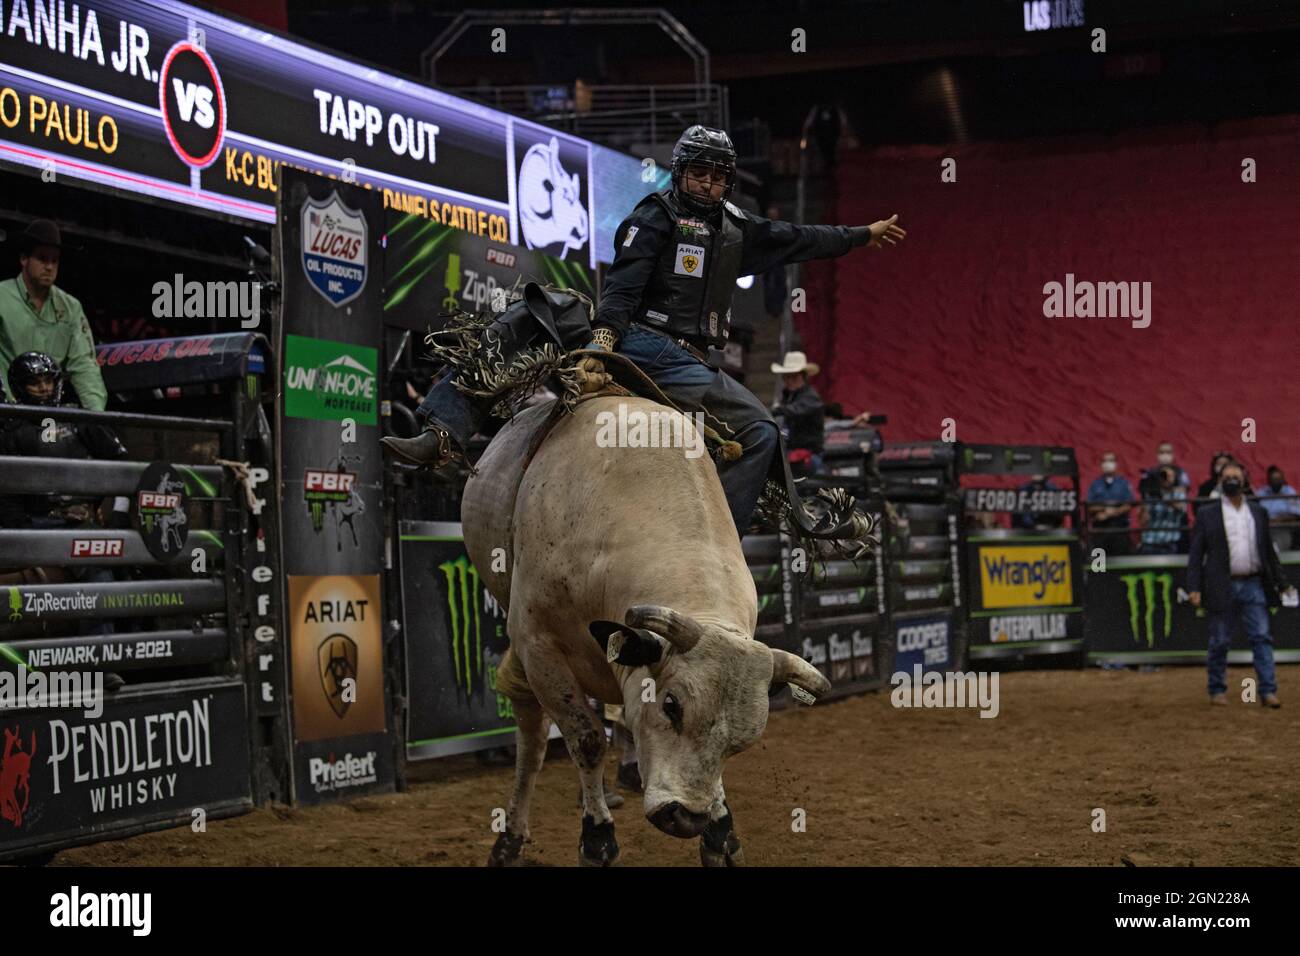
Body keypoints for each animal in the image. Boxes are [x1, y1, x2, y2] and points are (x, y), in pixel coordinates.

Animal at [467, 392, 826, 863]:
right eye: (671, 705)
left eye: (743, 741)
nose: (686, 818)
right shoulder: (537, 647)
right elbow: (586, 740)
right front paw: (598, 838)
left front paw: (721, 832)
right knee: (533, 738)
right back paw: (511, 839)